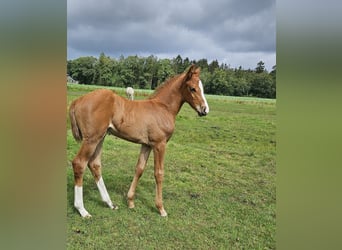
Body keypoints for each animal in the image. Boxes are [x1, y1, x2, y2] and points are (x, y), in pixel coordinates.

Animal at [69, 64, 208, 217]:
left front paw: (130, 201)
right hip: (91, 139)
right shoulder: (160, 144)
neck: (163, 107)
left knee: (94, 164)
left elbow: (139, 169)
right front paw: (161, 208)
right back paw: (82, 210)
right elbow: (159, 173)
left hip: (101, 137)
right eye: (192, 88)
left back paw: (110, 203)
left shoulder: (146, 145)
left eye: (202, 87)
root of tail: (77, 101)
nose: (204, 110)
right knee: (79, 163)